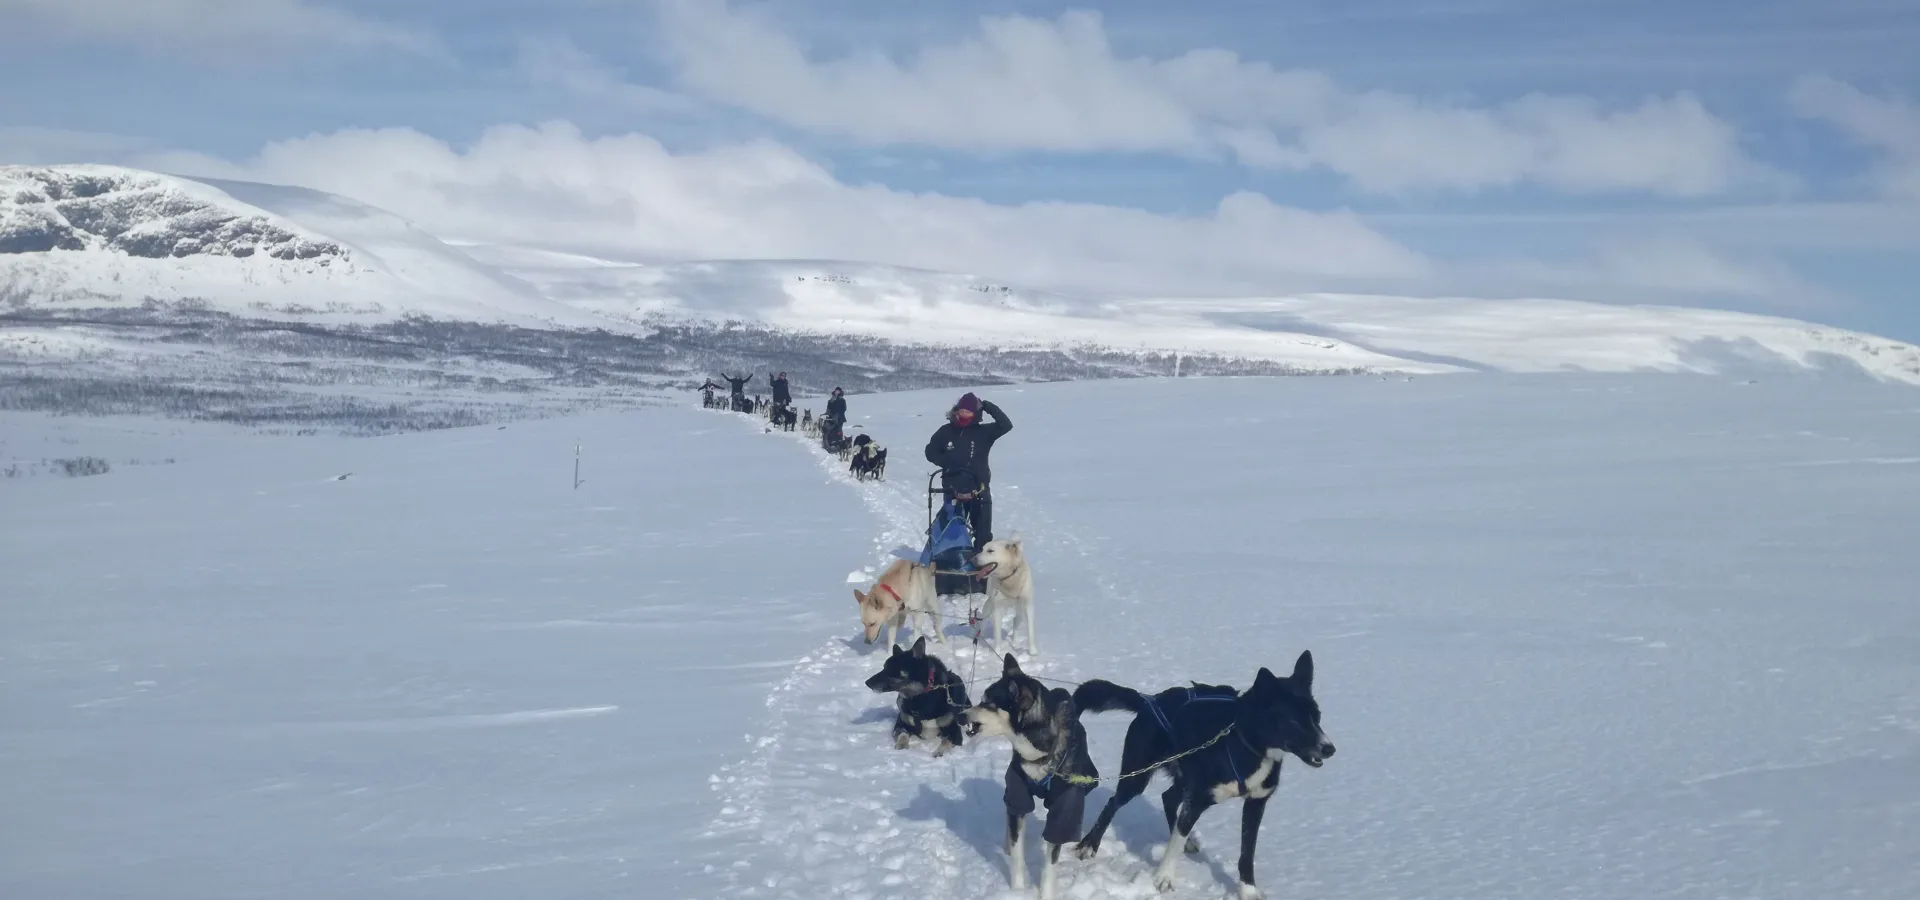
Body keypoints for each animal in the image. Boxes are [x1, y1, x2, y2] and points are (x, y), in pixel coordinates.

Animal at [1075, 648, 1328, 894]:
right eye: (1293, 721)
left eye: (1317, 716)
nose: (1329, 748)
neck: (1243, 743)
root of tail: (1150, 701)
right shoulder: (1197, 798)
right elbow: (1177, 840)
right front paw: (1163, 878)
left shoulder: (1255, 803)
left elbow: (1247, 854)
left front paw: (1247, 891)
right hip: (1138, 776)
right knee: (1114, 803)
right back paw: (1089, 845)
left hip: (1184, 777)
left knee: (1169, 798)